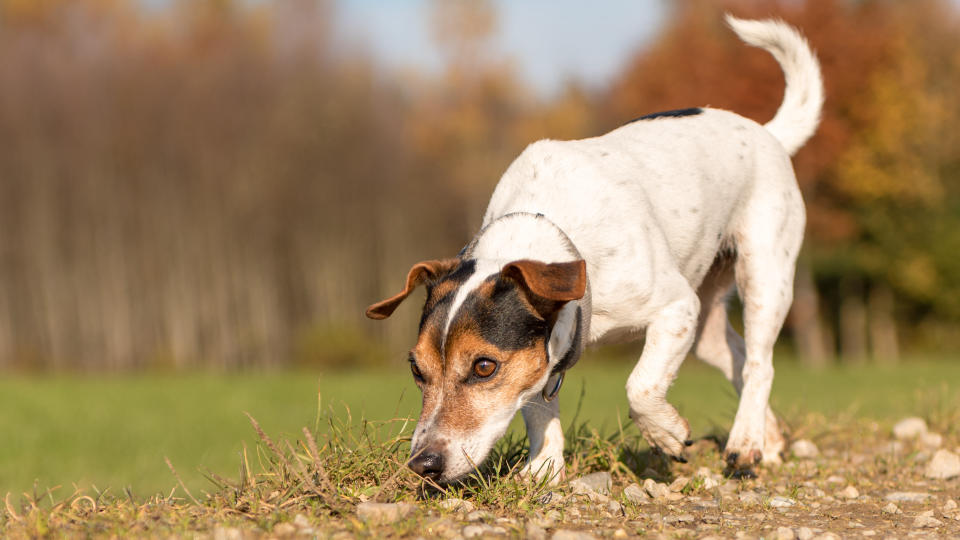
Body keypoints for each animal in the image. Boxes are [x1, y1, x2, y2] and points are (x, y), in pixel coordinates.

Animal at [364, 14, 820, 484]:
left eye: (484, 367)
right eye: (416, 369)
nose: (423, 464)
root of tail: (767, 133)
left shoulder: (676, 308)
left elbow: (640, 385)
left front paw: (666, 434)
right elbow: (538, 406)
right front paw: (543, 470)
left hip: (763, 275)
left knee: (759, 363)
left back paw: (745, 444)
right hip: (706, 320)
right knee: (737, 357)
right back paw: (767, 439)